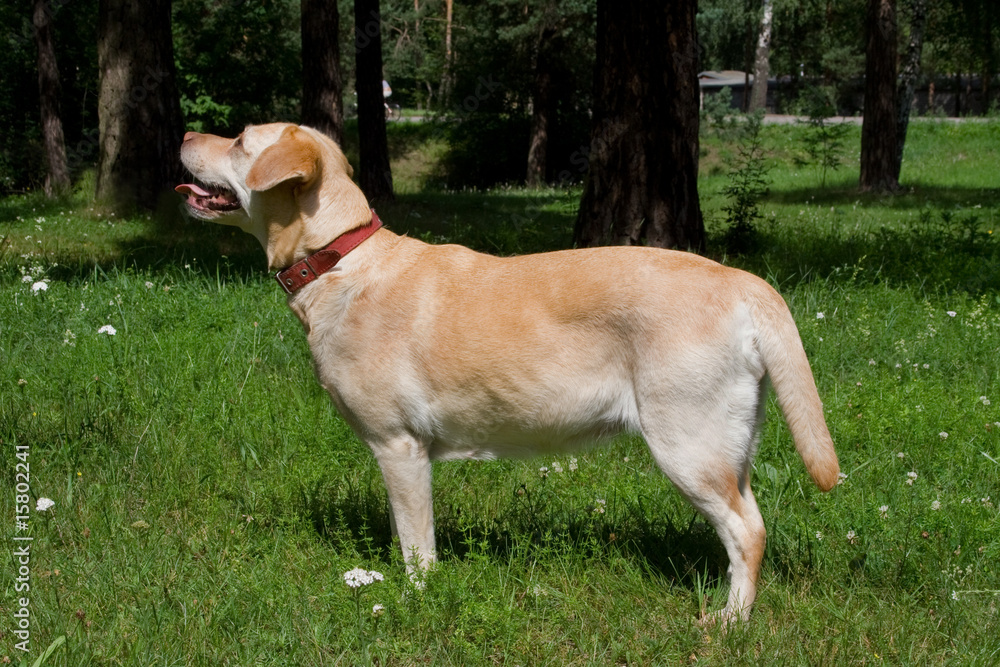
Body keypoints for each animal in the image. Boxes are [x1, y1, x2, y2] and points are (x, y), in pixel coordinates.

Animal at [176, 121, 840, 628]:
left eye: (240, 140)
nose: (184, 133)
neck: (338, 259)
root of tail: (742, 279)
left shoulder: (399, 447)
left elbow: (417, 547)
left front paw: (417, 599)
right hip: (730, 443)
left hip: (687, 443)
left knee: (747, 532)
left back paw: (729, 621)